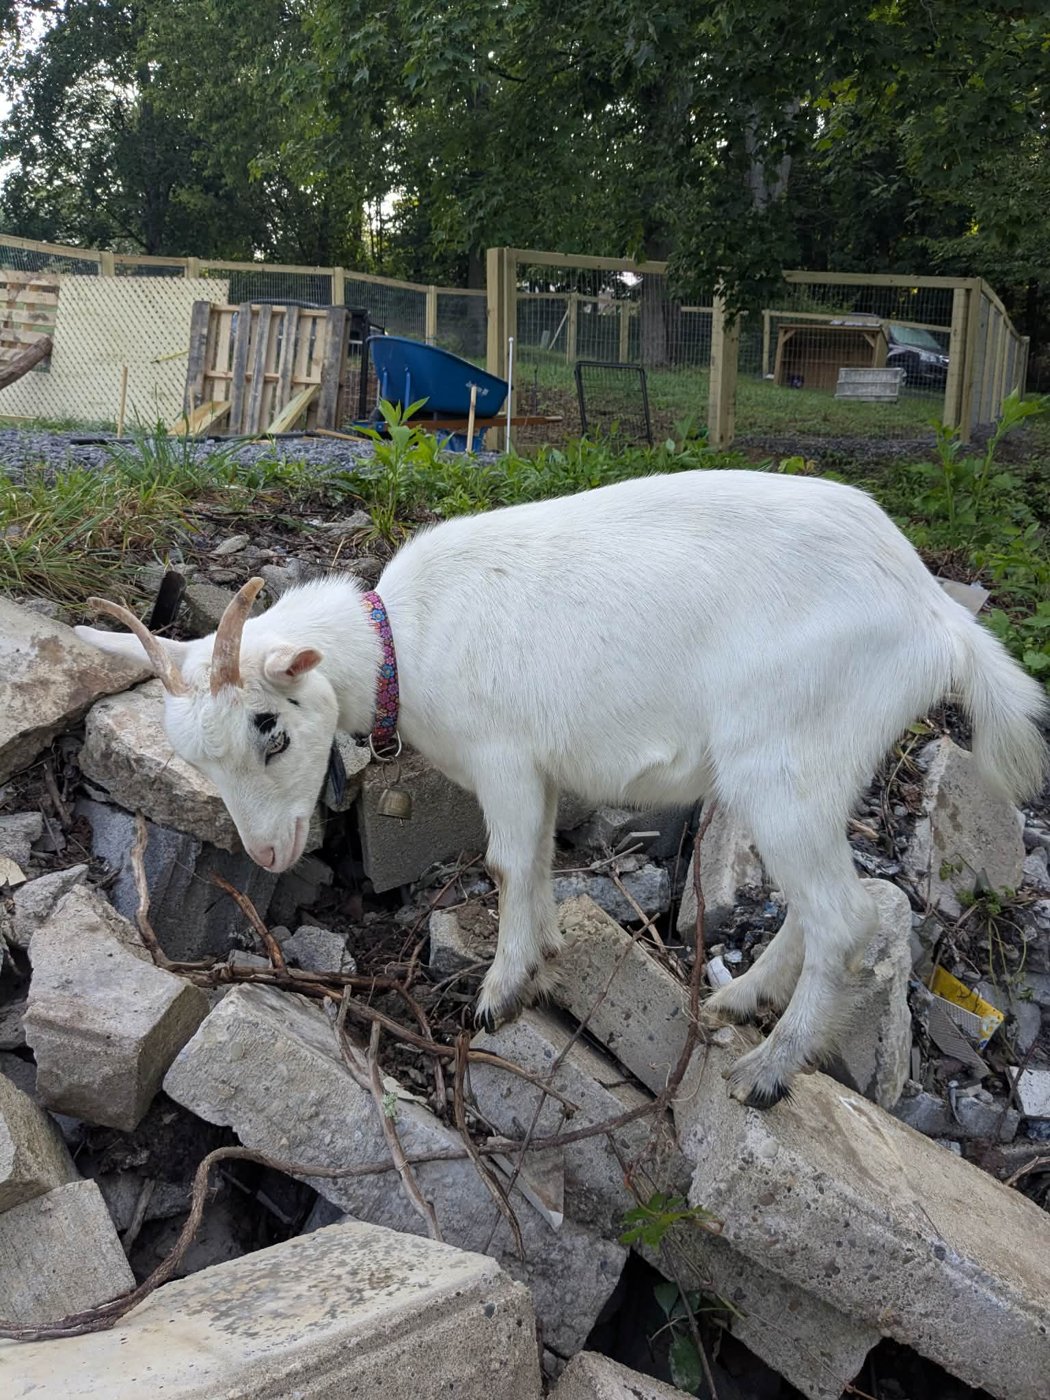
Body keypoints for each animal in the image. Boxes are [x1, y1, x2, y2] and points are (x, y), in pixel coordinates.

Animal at [75, 468, 1049, 1107]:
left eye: (269, 729)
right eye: (197, 759)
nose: (271, 853)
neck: (403, 643)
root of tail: (938, 619)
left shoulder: (504, 757)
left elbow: (507, 863)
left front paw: (502, 990)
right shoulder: (535, 772)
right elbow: (537, 860)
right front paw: (541, 951)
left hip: (786, 760)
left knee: (844, 916)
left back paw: (768, 1070)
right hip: (819, 769)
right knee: (833, 907)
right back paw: (740, 1000)